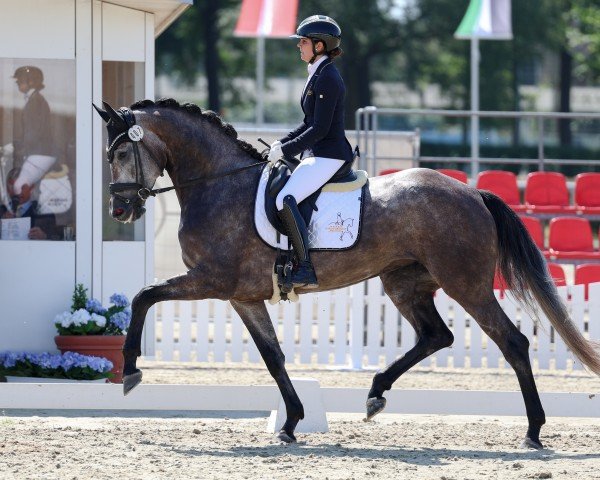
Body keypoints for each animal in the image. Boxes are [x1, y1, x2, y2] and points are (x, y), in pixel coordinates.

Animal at [94, 99, 600, 448]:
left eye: (119, 153)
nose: (120, 210)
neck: (219, 183)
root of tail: (473, 192)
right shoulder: (243, 295)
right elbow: (273, 356)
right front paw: (291, 422)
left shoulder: (212, 280)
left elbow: (143, 295)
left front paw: (131, 371)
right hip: (403, 282)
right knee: (437, 336)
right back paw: (375, 394)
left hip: (466, 284)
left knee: (511, 342)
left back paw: (533, 430)